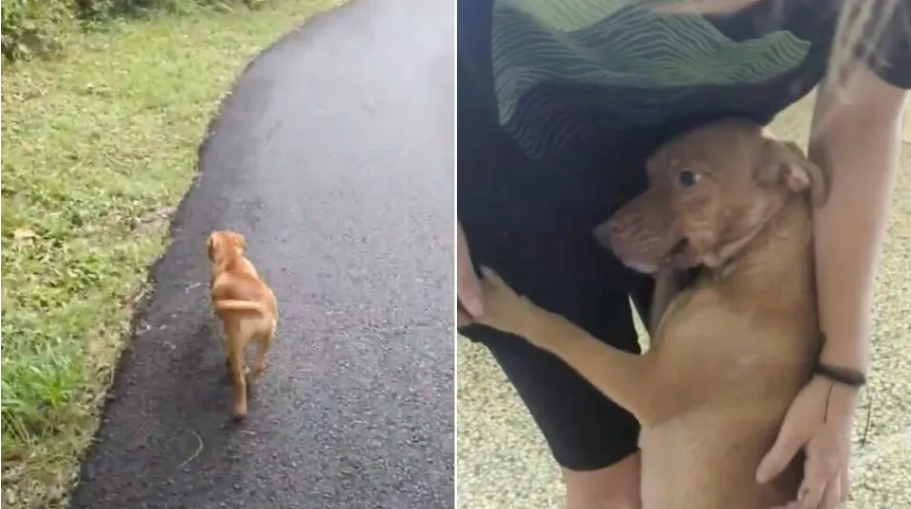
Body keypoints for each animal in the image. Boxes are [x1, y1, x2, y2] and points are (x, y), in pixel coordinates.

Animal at [207, 229, 278, 416]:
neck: (232, 261)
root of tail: (263, 309)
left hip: (237, 341)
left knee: (238, 377)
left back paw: (239, 409)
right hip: (265, 340)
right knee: (259, 366)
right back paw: (250, 378)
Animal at [478, 120, 828, 508]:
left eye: (688, 178)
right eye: (648, 173)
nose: (600, 233)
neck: (749, 267)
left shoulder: (646, 385)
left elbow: (568, 334)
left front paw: (504, 306)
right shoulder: (660, 330)